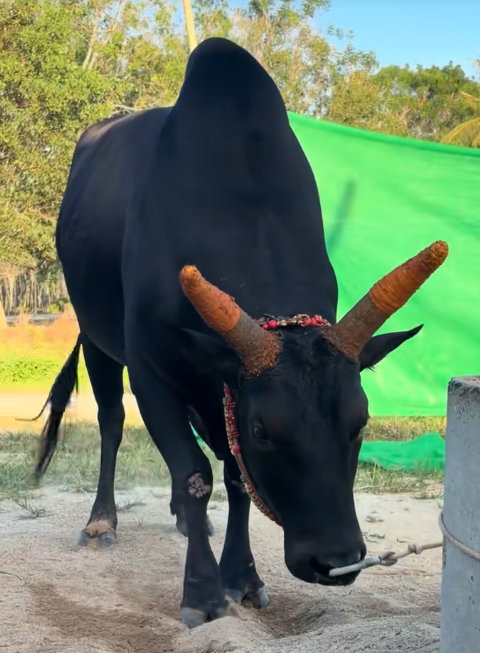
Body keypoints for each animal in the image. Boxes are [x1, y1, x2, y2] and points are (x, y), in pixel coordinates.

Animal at [36, 37, 448, 627]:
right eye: (262, 430)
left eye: (361, 422)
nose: (336, 560)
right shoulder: (153, 369)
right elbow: (194, 473)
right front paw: (203, 591)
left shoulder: (222, 380)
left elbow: (235, 479)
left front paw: (244, 578)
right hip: (97, 340)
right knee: (111, 422)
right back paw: (101, 522)